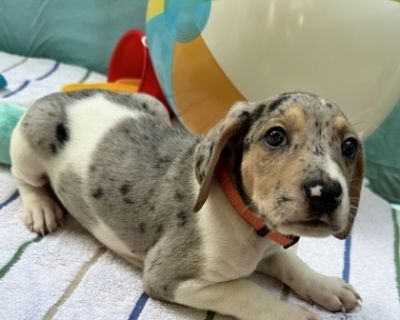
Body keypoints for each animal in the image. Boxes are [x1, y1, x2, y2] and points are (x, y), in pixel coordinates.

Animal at [10, 90, 366, 320]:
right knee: (23, 177)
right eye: (275, 136)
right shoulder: (168, 277)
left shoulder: (270, 246)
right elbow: (249, 293)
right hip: (30, 142)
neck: (247, 224)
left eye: (349, 146)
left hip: (153, 105)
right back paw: (40, 206)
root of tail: (66, 95)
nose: (327, 193)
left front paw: (326, 286)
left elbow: (291, 263)